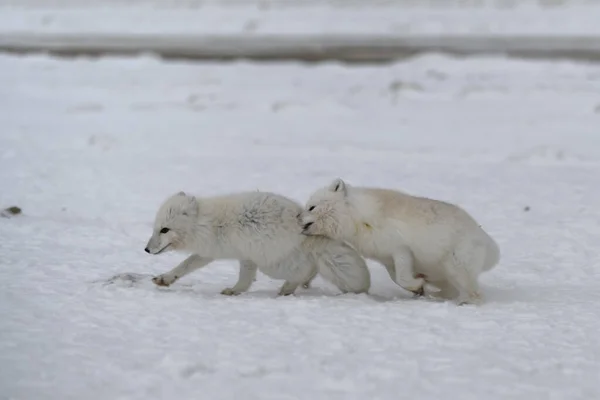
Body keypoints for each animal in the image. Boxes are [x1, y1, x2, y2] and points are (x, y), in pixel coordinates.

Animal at [144, 189, 370, 296]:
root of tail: (305, 230)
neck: (206, 223)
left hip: (271, 264)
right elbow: (184, 266)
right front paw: (165, 279)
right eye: (155, 228)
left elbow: (243, 278)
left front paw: (234, 291)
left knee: (302, 270)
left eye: (165, 230)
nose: (146, 249)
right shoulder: (224, 254)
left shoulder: (238, 254)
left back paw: (286, 290)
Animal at [300, 177, 502, 304]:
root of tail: (490, 244)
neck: (356, 218)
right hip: (444, 274)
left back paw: (464, 302)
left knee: (475, 293)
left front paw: (418, 286)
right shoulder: (386, 258)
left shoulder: (401, 250)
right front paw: (418, 288)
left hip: (456, 266)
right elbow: (396, 278)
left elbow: (403, 277)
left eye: (311, 207)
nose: (296, 217)